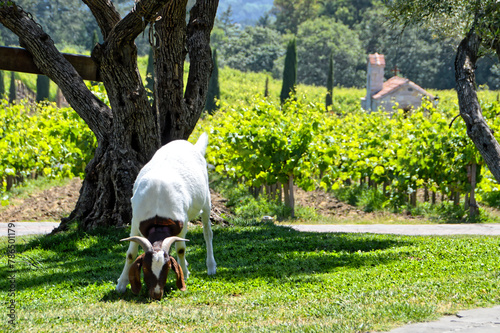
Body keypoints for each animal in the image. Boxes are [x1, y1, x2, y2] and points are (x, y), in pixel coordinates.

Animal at [116, 132, 216, 298]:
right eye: (145, 267)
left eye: (168, 266)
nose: (156, 294)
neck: (158, 218)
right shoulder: (135, 219)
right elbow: (131, 253)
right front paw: (121, 284)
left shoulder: (183, 221)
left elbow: (181, 249)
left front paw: (185, 274)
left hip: (206, 200)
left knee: (207, 233)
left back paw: (211, 266)